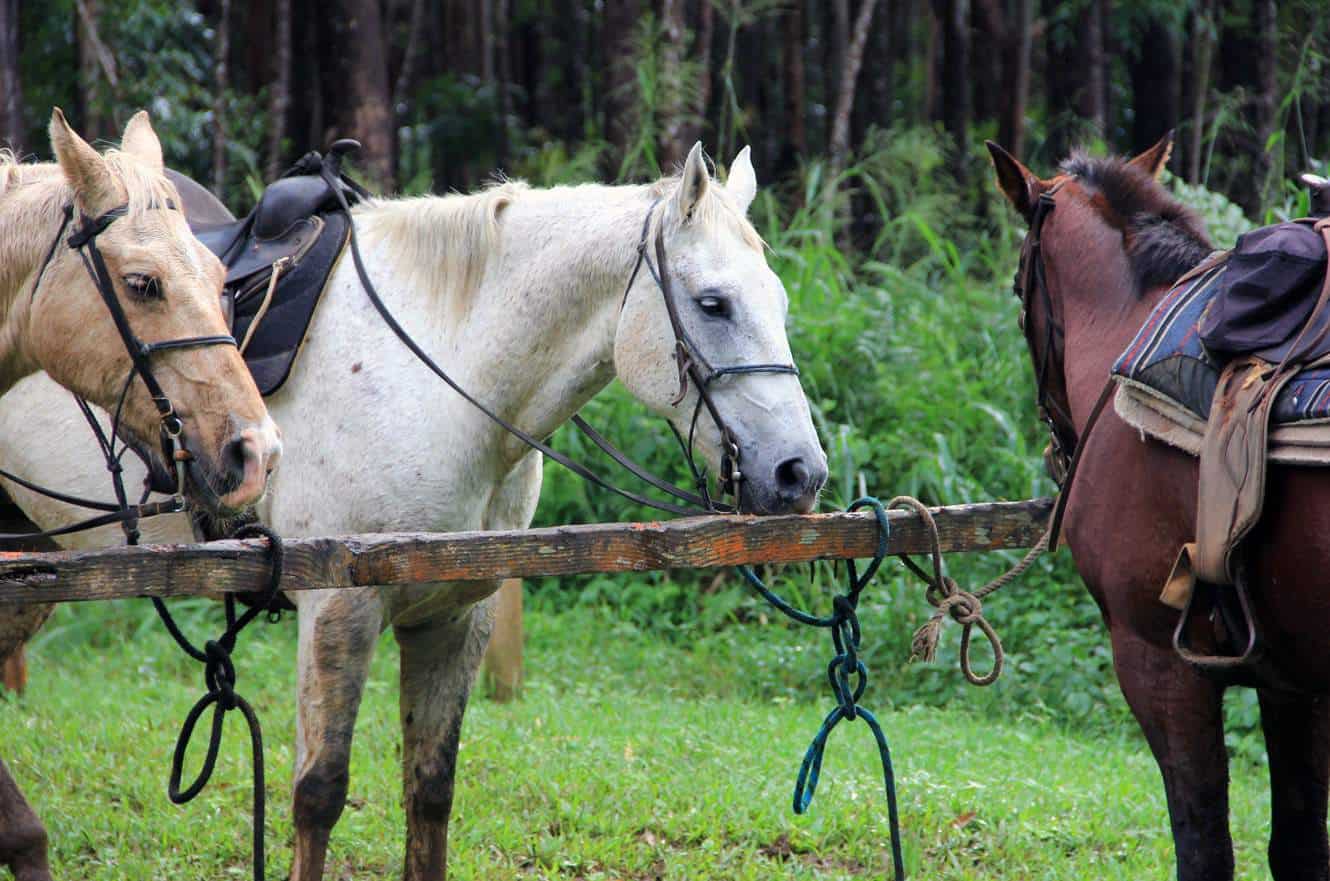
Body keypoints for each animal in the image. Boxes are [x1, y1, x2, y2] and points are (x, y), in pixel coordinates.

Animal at [987, 133, 1330, 881]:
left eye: (1018, 287)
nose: (1058, 446)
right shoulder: (1295, 683)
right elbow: (1298, 847)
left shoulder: (1158, 662)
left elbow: (1203, 848)